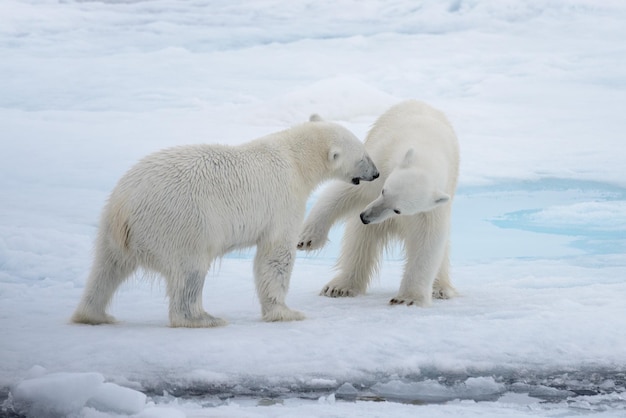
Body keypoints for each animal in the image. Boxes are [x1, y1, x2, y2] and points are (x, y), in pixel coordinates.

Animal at [70, 116, 378, 326]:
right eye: (363, 155)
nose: (375, 174)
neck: (294, 158)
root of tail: (123, 207)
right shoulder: (283, 200)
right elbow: (274, 256)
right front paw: (287, 312)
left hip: (112, 227)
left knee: (106, 269)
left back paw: (95, 314)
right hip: (179, 223)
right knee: (190, 273)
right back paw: (204, 318)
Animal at [294, 99, 456, 306]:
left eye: (398, 210)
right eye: (383, 192)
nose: (365, 217)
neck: (426, 147)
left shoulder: (432, 205)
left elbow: (428, 239)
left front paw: (407, 298)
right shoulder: (382, 165)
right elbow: (343, 193)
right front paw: (307, 239)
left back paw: (440, 289)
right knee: (359, 241)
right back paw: (340, 287)